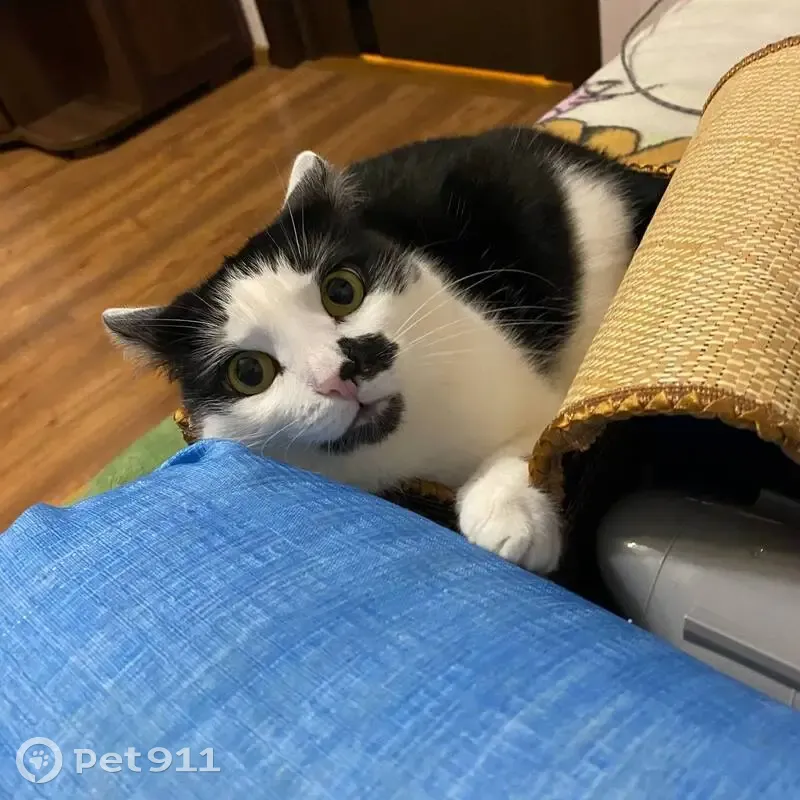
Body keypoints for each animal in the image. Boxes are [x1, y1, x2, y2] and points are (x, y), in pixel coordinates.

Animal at [103, 127, 668, 574]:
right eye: (248, 372)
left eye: (342, 290)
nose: (340, 372)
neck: (407, 450)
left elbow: (543, 434)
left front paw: (506, 512)